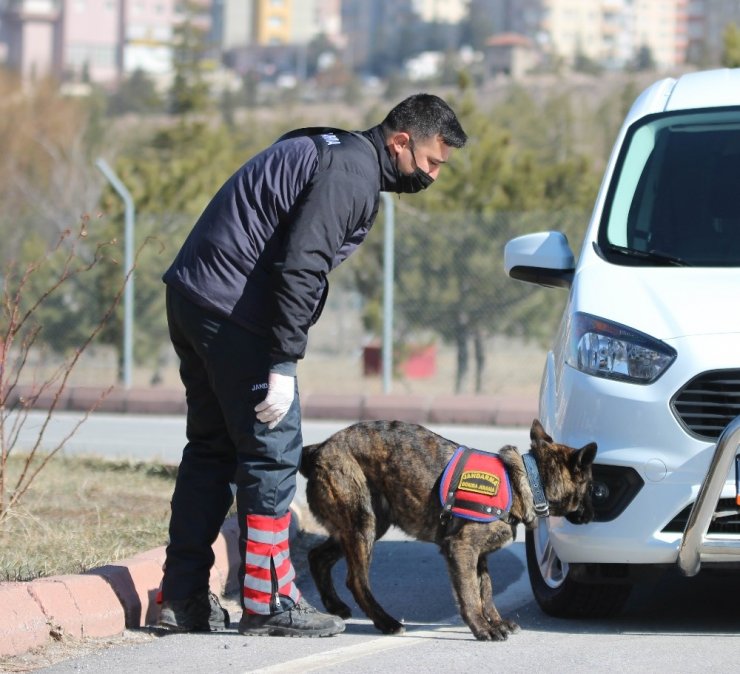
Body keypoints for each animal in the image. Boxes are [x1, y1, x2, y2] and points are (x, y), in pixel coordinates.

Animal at [300, 414, 596, 640]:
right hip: (362, 525)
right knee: (356, 581)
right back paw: (387, 622)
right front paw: (482, 628)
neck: (523, 482)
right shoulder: (462, 549)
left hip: (363, 525)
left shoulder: (479, 556)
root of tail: (319, 448)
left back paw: (335, 605)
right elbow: (470, 594)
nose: (596, 510)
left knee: (316, 556)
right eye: (591, 485)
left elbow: (486, 591)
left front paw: (496, 622)